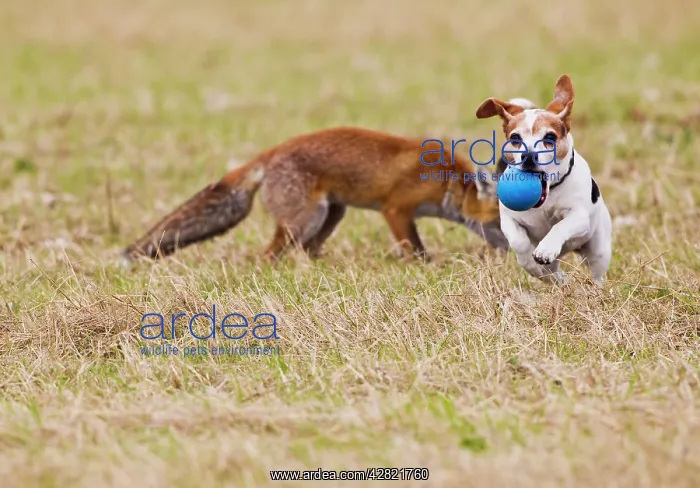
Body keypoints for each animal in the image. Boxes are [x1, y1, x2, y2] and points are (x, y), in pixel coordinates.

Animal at [121, 126, 509, 263]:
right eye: (503, 225)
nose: (516, 254)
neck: (449, 181)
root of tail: (272, 151)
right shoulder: (396, 209)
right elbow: (415, 248)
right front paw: (426, 265)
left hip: (331, 213)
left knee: (307, 248)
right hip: (305, 218)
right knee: (271, 253)